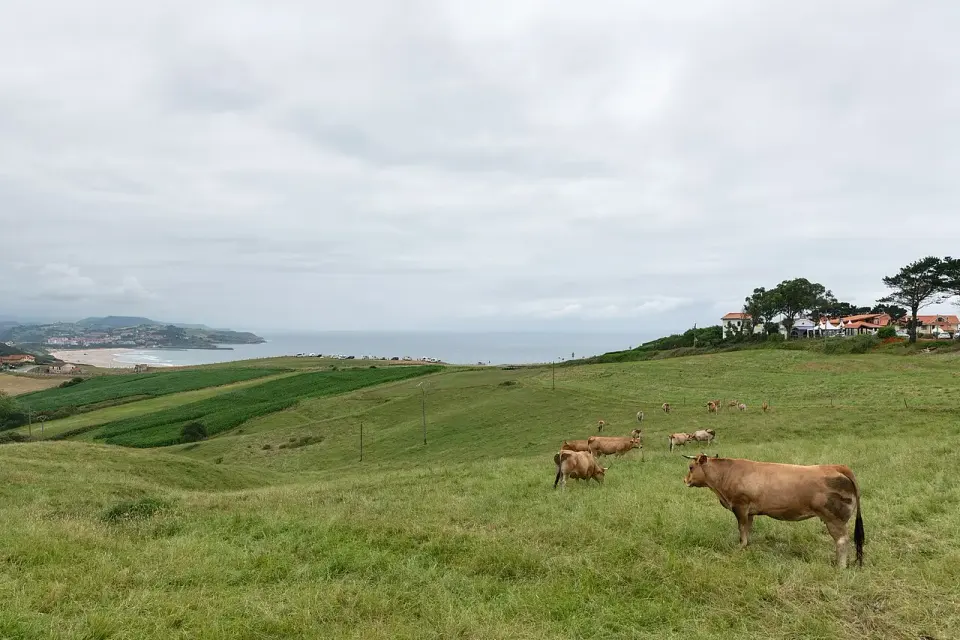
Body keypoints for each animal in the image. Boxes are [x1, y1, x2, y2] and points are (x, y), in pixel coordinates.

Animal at [682, 453, 865, 567]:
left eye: (691, 467)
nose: (685, 480)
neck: (727, 475)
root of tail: (836, 467)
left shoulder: (740, 507)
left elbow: (742, 530)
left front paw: (740, 548)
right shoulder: (750, 512)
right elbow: (747, 530)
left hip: (834, 519)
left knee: (842, 541)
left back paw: (840, 567)